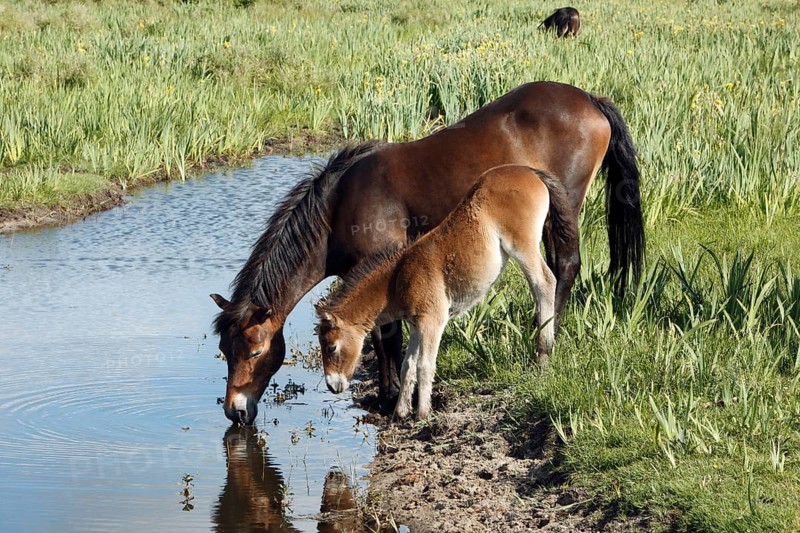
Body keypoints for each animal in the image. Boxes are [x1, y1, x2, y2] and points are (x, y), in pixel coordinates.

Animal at [316, 165, 575, 419]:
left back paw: (543, 354)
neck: (399, 277)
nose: (332, 386)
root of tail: (530, 171)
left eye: (331, 347)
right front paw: (400, 412)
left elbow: (425, 365)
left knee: (544, 282)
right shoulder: (416, 325)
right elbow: (408, 365)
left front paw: (422, 414)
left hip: (522, 244)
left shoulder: (432, 320)